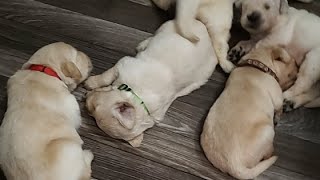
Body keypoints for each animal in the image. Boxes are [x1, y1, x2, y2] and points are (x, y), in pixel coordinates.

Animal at [0, 42, 94, 180]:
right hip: (69, 146)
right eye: (77, 55)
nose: (88, 56)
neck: (44, 68)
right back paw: (88, 155)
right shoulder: (73, 108)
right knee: (85, 171)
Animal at [85, 19, 218, 147]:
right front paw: (90, 82)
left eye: (94, 109)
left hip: (199, 80)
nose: (85, 98)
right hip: (167, 27)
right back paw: (144, 44)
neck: (136, 96)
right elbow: (106, 77)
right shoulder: (122, 64)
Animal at [201, 46, 298, 180]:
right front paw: (278, 118)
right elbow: (279, 110)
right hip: (268, 131)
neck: (257, 65)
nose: (299, 67)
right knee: (267, 153)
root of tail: (235, 167)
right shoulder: (278, 99)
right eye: (294, 63)